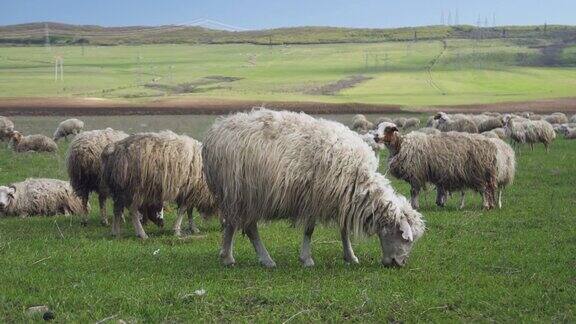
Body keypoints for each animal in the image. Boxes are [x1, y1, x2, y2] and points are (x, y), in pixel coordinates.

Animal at [201, 109, 424, 268]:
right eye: (405, 239)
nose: (399, 264)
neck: (358, 180)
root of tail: (215, 132)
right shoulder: (314, 198)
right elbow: (309, 231)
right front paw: (307, 259)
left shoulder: (342, 198)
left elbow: (344, 231)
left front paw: (350, 256)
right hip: (245, 194)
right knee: (249, 228)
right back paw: (266, 260)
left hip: (233, 195)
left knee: (231, 224)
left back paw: (227, 257)